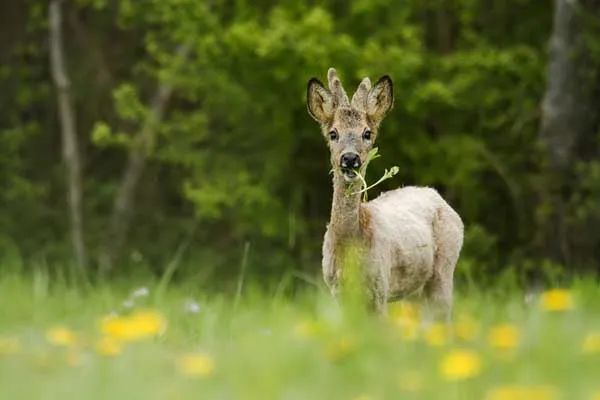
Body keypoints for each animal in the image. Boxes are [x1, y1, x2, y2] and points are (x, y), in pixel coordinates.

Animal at [304, 68, 464, 318]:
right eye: (333, 133)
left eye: (367, 133)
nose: (350, 159)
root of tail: (438, 197)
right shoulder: (337, 290)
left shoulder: (380, 286)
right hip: (415, 291)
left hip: (445, 268)